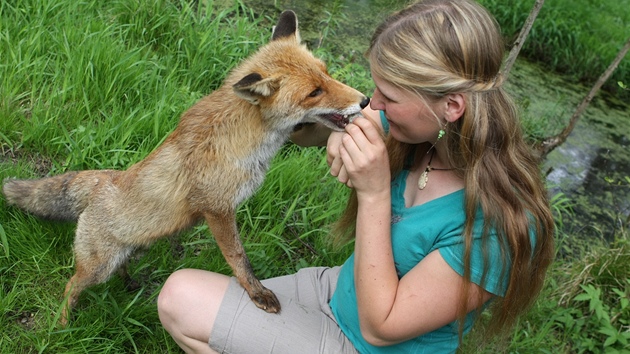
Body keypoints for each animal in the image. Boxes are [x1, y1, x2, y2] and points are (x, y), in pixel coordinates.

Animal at [2, 10, 370, 326]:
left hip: (129, 249)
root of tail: (104, 177)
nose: (365, 100)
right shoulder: (217, 208)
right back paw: (62, 324)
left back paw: (129, 284)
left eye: (326, 72)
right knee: (70, 286)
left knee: (116, 269)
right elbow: (239, 258)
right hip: (97, 266)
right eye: (314, 92)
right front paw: (256, 293)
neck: (248, 138)